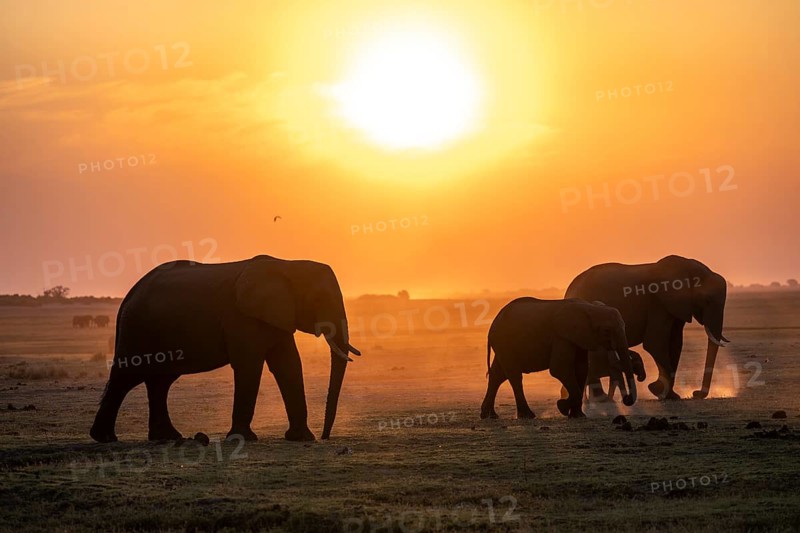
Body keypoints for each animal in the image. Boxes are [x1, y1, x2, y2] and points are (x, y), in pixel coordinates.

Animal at [90, 254, 361, 444]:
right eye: (318, 300)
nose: (326, 436)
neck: (288, 265)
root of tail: (129, 295)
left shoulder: (277, 316)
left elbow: (289, 366)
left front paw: (302, 438)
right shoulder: (242, 317)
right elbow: (249, 366)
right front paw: (244, 439)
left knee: (160, 382)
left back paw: (167, 437)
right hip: (137, 328)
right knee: (126, 377)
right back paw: (105, 438)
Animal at [480, 297, 638, 420]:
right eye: (606, 330)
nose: (626, 399)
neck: (589, 307)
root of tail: (492, 325)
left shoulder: (580, 337)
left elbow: (582, 369)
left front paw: (577, 415)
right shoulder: (561, 336)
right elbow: (559, 369)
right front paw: (562, 406)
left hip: (503, 344)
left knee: (498, 376)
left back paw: (489, 416)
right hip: (504, 342)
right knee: (513, 376)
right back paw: (527, 416)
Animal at [565, 255, 728, 401]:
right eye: (707, 300)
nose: (696, 394)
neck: (688, 266)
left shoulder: (676, 308)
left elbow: (675, 344)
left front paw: (666, 393)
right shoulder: (658, 304)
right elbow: (655, 345)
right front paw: (662, 392)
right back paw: (600, 399)